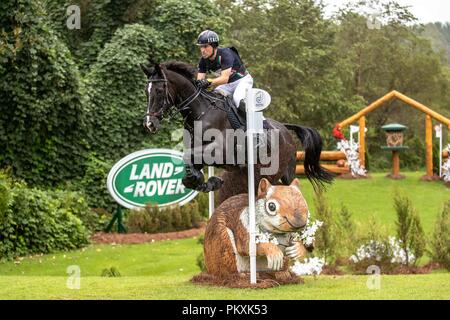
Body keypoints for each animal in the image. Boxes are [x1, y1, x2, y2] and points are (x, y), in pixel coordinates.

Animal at [142, 61, 334, 204]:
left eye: (159, 90)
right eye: (147, 92)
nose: (150, 124)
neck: (201, 111)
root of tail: (286, 129)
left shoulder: (221, 152)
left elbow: (188, 157)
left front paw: (208, 182)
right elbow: (189, 163)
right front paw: (206, 182)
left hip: (285, 171)